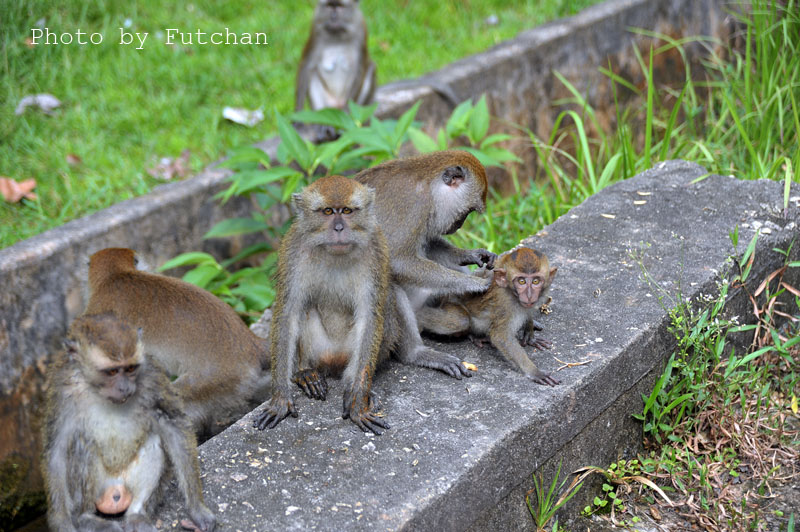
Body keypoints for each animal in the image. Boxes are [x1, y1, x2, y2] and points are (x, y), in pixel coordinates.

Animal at [41, 314, 214, 528]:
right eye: (112, 371)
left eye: (130, 368)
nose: (124, 387)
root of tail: (115, 489)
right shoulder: (61, 389)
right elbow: (56, 450)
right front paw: (61, 521)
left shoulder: (152, 377)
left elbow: (174, 426)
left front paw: (197, 507)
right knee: (84, 444)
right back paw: (86, 517)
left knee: (154, 441)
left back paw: (137, 515)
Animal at [256, 177, 394, 434]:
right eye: (328, 211)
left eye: (347, 211)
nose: (339, 229)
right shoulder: (293, 249)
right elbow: (288, 312)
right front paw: (280, 398)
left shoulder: (377, 248)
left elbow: (370, 317)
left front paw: (357, 401)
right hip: (321, 350)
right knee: (304, 308)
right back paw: (305, 372)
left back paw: (352, 385)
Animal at [354, 151, 494, 378]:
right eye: (468, 211)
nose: (459, 225)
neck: (428, 184)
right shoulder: (415, 207)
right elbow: (397, 261)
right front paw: (472, 283)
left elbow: (429, 245)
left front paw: (472, 255)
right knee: (391, 285)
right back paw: (416, 353)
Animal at [416, 245, 560, 386]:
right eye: (521, 281)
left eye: (535, 281)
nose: (529, 295)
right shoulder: (506, 304)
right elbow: (500, 336)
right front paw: (534, 371)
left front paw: (530, 335)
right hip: (450, 303)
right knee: (460, 320)